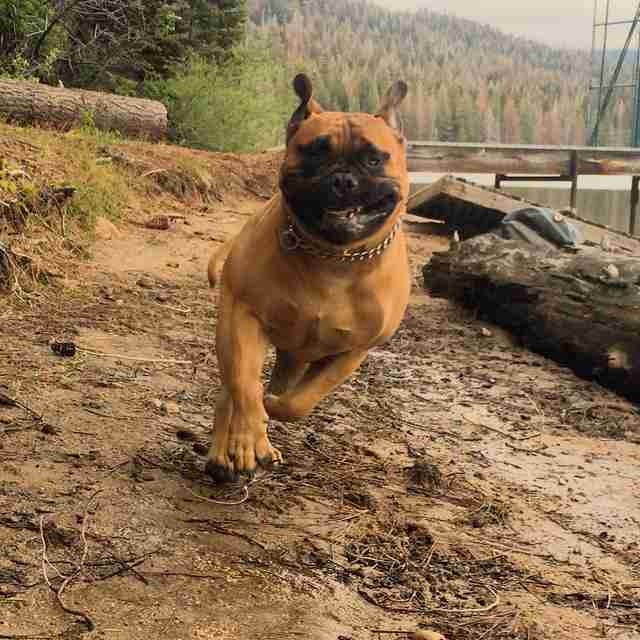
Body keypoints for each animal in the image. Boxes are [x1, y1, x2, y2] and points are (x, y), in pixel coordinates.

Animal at [208, 72, 412, 478]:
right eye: (315, 152)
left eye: (373, 159)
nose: (343, 179)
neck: (333, 258)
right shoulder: (244, 317)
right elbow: (246, 387)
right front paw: (249, 439)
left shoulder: (352, 351)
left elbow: (301, 400)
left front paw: (275, 408)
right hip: (231, 329)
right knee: (232, 389)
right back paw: (225, 451)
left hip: (295, 356)